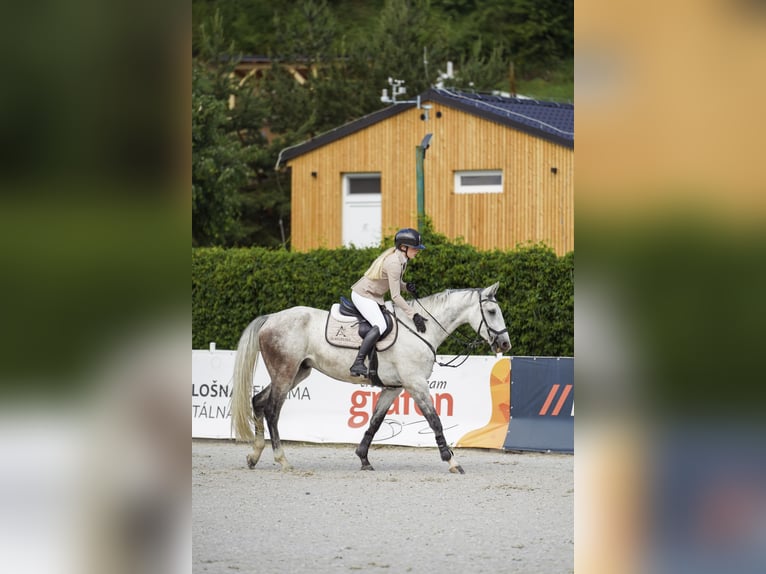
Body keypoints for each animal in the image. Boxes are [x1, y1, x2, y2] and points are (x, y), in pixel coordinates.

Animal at [230, 282, 511, 474]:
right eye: (491, 311)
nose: (505, 344)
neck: (422, 329)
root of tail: (271, 318)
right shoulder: (416, 384)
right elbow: (435, 421)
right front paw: (452, 460)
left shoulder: (394, 387)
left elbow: (375, 422)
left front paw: (363, 458)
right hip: (285, 372)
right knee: (272, 410)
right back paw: (282, 459)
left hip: (298, 372)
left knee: (258, 401)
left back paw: (254, 456)